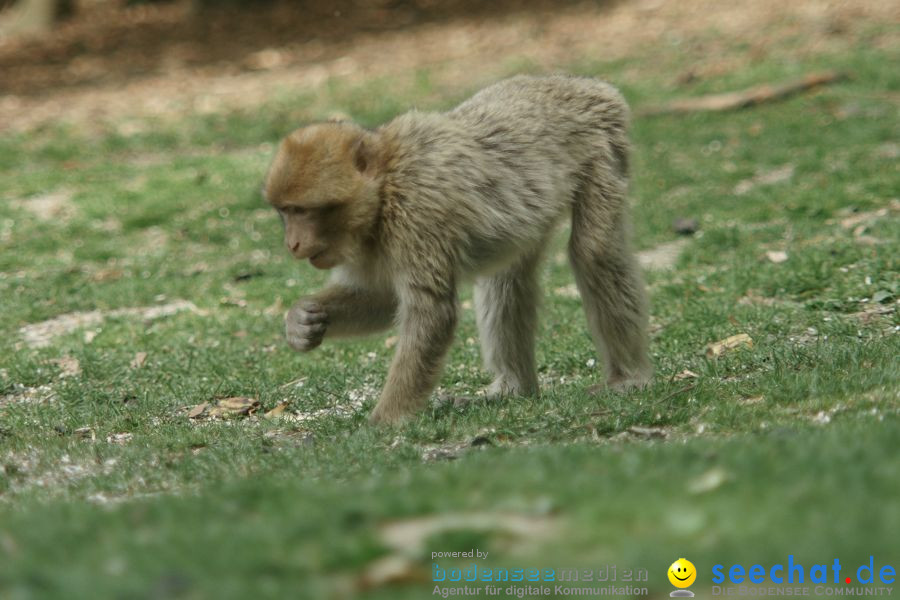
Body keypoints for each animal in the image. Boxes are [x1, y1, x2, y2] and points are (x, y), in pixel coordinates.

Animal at [264, 74, 652, 422]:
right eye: (285, 212)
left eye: (303, 211)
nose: (292, 243)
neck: (385, 189)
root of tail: (589, 85)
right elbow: (384, 298)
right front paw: (303, 320)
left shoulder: (419, 213)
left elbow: (432, 312)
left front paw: (384, 421)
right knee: (506, 277)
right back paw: (514, 388)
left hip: (603, 145)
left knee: (594, 250)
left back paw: (628, 377)